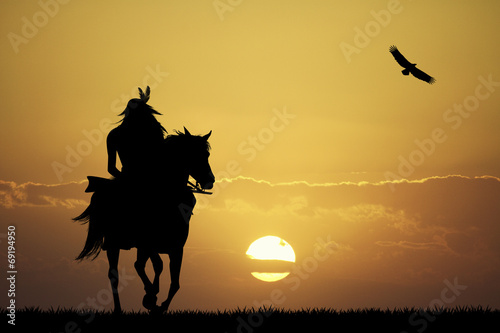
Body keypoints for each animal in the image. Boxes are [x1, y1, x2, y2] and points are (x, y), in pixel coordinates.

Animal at [73, 127, 214, 312]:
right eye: (194, 153)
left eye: (207, 154)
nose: (210, 181)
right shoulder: (147, 243)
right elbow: (157, 266)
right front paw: (151, 297)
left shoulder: (176, 248)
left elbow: (175, 283)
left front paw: (159, 304)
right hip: (113, 243)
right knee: (115, 275)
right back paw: (120, 309)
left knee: (139, 266)